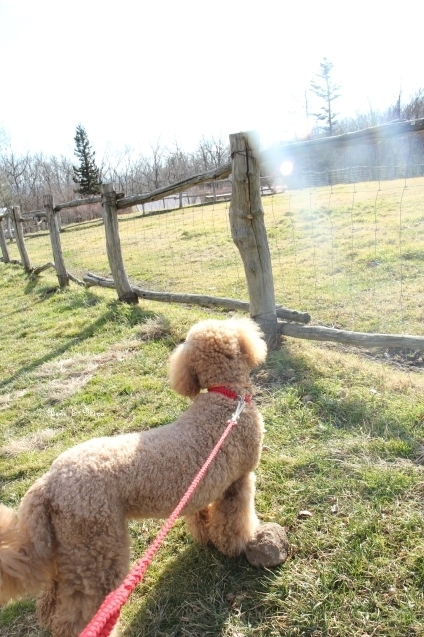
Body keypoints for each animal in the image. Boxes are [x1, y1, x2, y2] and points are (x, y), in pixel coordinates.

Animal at [0, 318, 286, 636]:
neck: (225, 399)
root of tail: (47, 484)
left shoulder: (201, 486)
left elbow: (202, 517)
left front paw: (206, 539)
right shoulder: (239, 481)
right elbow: (235, 521)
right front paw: (236, 546)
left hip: (65, 551)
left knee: (50, 606)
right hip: (97, 548)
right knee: (79, 612)